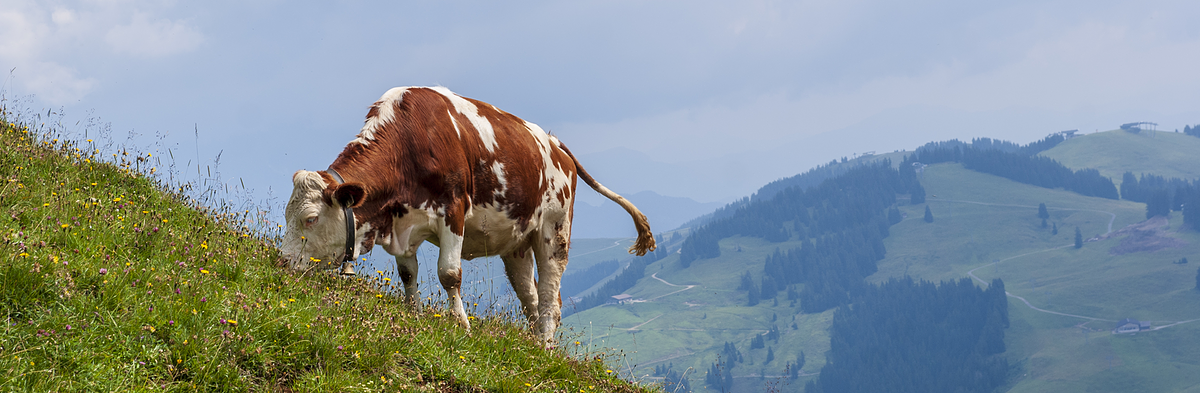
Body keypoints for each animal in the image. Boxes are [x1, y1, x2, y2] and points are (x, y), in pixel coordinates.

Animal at [280, 86, 657, 345]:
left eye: (311, 218)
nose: (282, 262)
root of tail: (555, 144)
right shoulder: (403, 223)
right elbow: (407, 273)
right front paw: (413, 315)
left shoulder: (453, 210)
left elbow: (449, 274)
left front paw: (461, 325)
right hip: (517, 245)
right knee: (531, 298)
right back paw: (534, 347)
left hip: (554, 230)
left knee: (551, 297)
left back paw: (547, 347)